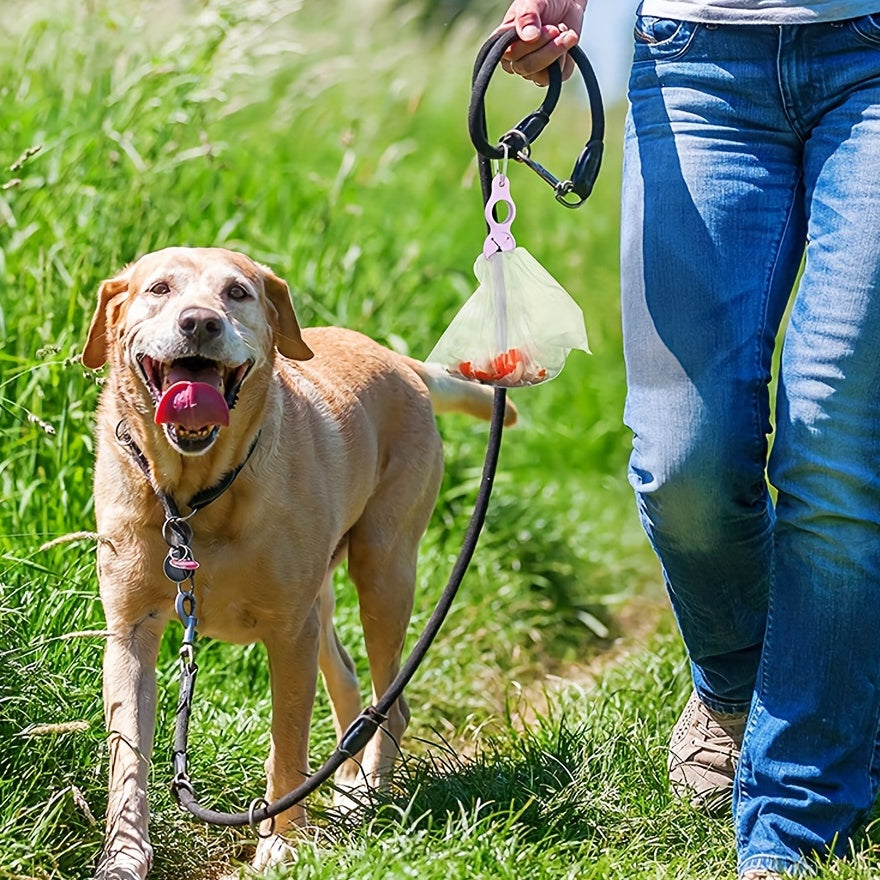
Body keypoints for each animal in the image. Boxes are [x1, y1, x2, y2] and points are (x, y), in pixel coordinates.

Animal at [84, 244, 516, 876]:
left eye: (236, 293)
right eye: (158, 289)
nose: (200, 322)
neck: (197, 497)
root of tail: (402, 362)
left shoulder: (289, 633)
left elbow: (286, 742)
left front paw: (281, 842)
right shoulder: (130, 631)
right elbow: (128, 754)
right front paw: (124, 853)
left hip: (383, 572)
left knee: (390, 704)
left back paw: (366, 798)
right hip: (325, 600)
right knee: (351, 683)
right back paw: (348, 791)